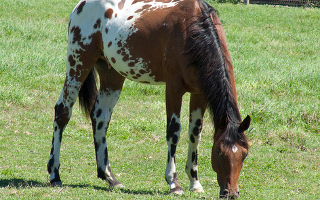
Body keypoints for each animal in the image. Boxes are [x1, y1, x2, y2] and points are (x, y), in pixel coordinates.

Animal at [47, 0, 251, 198]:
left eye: (245, 154)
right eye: (219, 152)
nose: (231, 193)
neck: (194, 30)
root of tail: (80, 5)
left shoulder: (199, 93)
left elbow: (195, 134)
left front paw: (195, 183)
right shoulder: (174, 88)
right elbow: (174, 132)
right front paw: (173, 183)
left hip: (111, 76)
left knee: (100, 119)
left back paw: (110, 177)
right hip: (78, 64)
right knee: (63, 112)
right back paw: (55, 174)